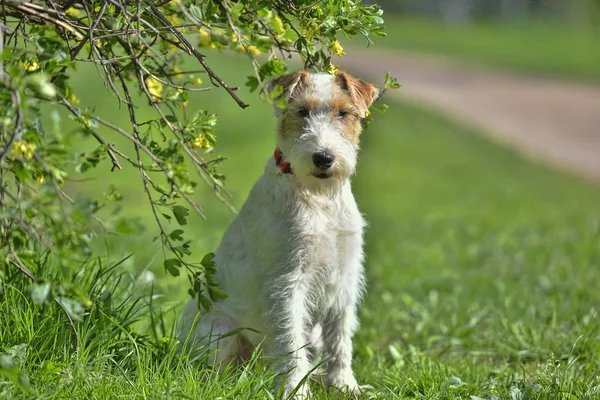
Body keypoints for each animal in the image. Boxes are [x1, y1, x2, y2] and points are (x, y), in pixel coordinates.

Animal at [177, 69, 380, 396]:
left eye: (343, 113)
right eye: (302, 112)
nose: (323, 158)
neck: (319, 197)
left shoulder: (344, 279)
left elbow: (340, 341)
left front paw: (345, 385)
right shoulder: (289, 281)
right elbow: (290, 341)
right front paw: (295, 390)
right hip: (219, 333)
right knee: (214, 370)